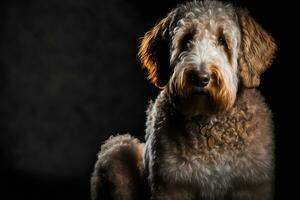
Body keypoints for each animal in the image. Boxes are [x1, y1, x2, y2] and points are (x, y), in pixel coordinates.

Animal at [91, 0, 276, 199]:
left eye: (222, 40)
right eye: (186, 38)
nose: (200, 78)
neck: (208, 123)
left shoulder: (251, 186)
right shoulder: (172, 186)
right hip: (117, 150)